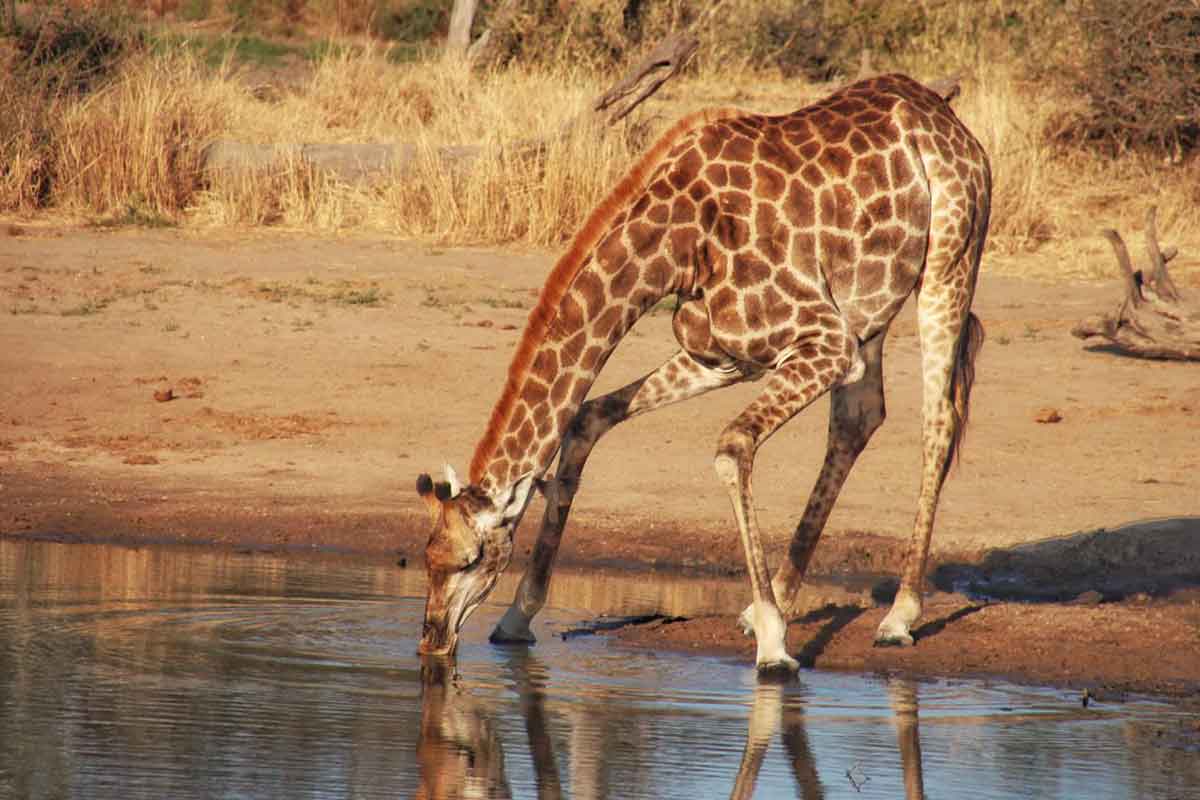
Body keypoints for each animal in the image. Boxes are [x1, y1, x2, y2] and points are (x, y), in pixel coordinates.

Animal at [417, 73, 990, 672]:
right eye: (426, 556)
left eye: (470, 559)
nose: (432, 640)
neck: (679, 246)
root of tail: (947, 120)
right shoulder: (724, 357)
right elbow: (586, 417)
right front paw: (516, 617)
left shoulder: (827, 343)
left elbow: (733, 447)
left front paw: (774, 646)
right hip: (867, 310)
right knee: (859, 418)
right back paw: (777, 602)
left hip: (949, 264)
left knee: (938, 422)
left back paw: (898, 616)